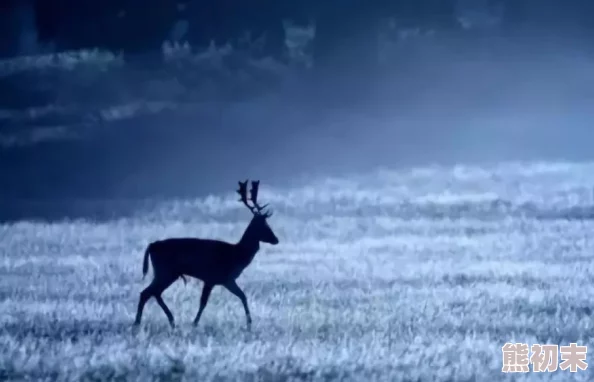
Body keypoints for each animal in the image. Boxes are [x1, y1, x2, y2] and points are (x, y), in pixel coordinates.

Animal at [132, 181, 278, 330]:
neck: (237, 254)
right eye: (263, 225)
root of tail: (152, 245)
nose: (276, 239)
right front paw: (248, 323)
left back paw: (169, 320)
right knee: (148, 292)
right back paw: (141, 322)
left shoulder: (216, 280)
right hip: (165, 271)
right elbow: (223, 299)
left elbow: (226, 298)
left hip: (168, 273)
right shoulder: (220, 278)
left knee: (153, 293)